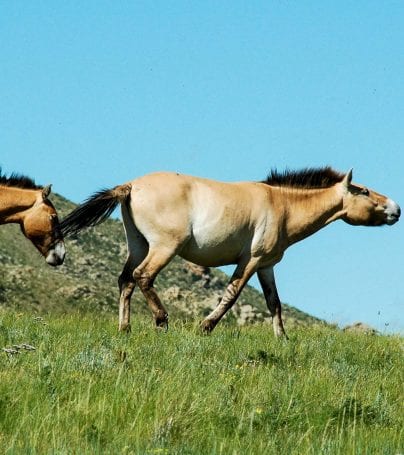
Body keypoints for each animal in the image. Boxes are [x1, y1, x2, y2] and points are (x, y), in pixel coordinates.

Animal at [60, 168, 400, 338]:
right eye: (364, 191)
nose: (396, 209)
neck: (282, 205)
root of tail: (131, 186)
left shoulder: (267, 266)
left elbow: (274, 304)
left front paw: (283, 340)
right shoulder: (251, 260)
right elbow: (232, 294)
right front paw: (205, 327)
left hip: (138, 244)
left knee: (126, 280)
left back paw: (125, 328)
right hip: (164, 247)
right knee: (143, 277)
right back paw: (161, 321)